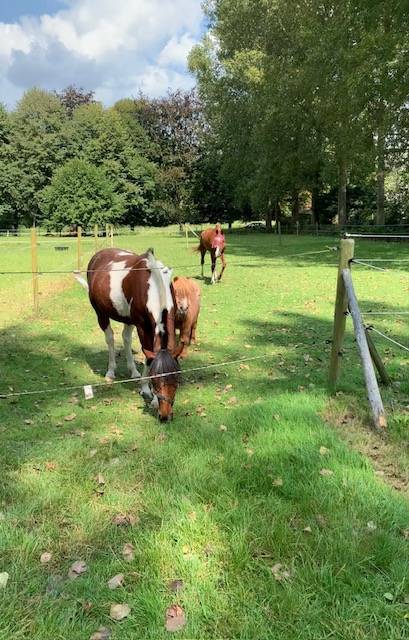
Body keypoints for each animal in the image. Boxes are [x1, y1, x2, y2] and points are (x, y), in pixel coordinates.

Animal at [84, 248, 184, 422]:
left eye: (176, 380)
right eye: (155, 381)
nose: (165, 416)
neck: (154, 284)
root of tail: (99, 254)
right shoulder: (142, 326)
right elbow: (149, 357)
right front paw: (148, 392)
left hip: (127, 319)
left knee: (126, 338)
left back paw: (133, 371)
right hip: (101, 313)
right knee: (110, 338)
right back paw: (111, 372)